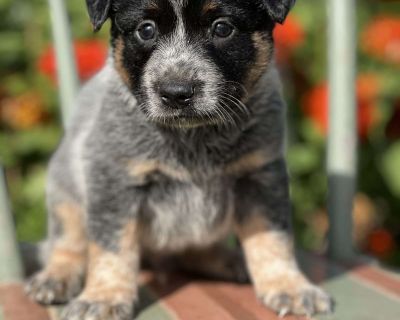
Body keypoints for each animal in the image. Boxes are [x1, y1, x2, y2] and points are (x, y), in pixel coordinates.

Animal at [25, 1, 334, 318]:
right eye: (145, 29)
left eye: (222, 27)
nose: (176, 93)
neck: (194, 138)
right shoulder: (114, 179)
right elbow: (112, 246)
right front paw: (104, 297)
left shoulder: (261, 174)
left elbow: (273, 237)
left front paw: (289, 286)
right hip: (64, 187)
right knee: (67, 240)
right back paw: (57, 277)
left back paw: (226, 260)